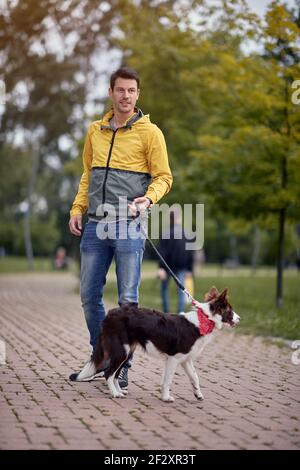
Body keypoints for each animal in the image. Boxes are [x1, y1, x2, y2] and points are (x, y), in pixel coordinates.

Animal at [89, 286, 239, 400]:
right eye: (230, 311)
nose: (239, 319)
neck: (204, 319)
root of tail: (110, 314)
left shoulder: (186, 360)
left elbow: (195, 377)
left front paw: (198, 394)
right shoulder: (174, 358)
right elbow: (168, 380)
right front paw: (166, 397)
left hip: (127, 352)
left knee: (115, 374)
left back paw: (119, 391)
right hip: (122, 351)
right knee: (108, 373)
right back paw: (115, 393)